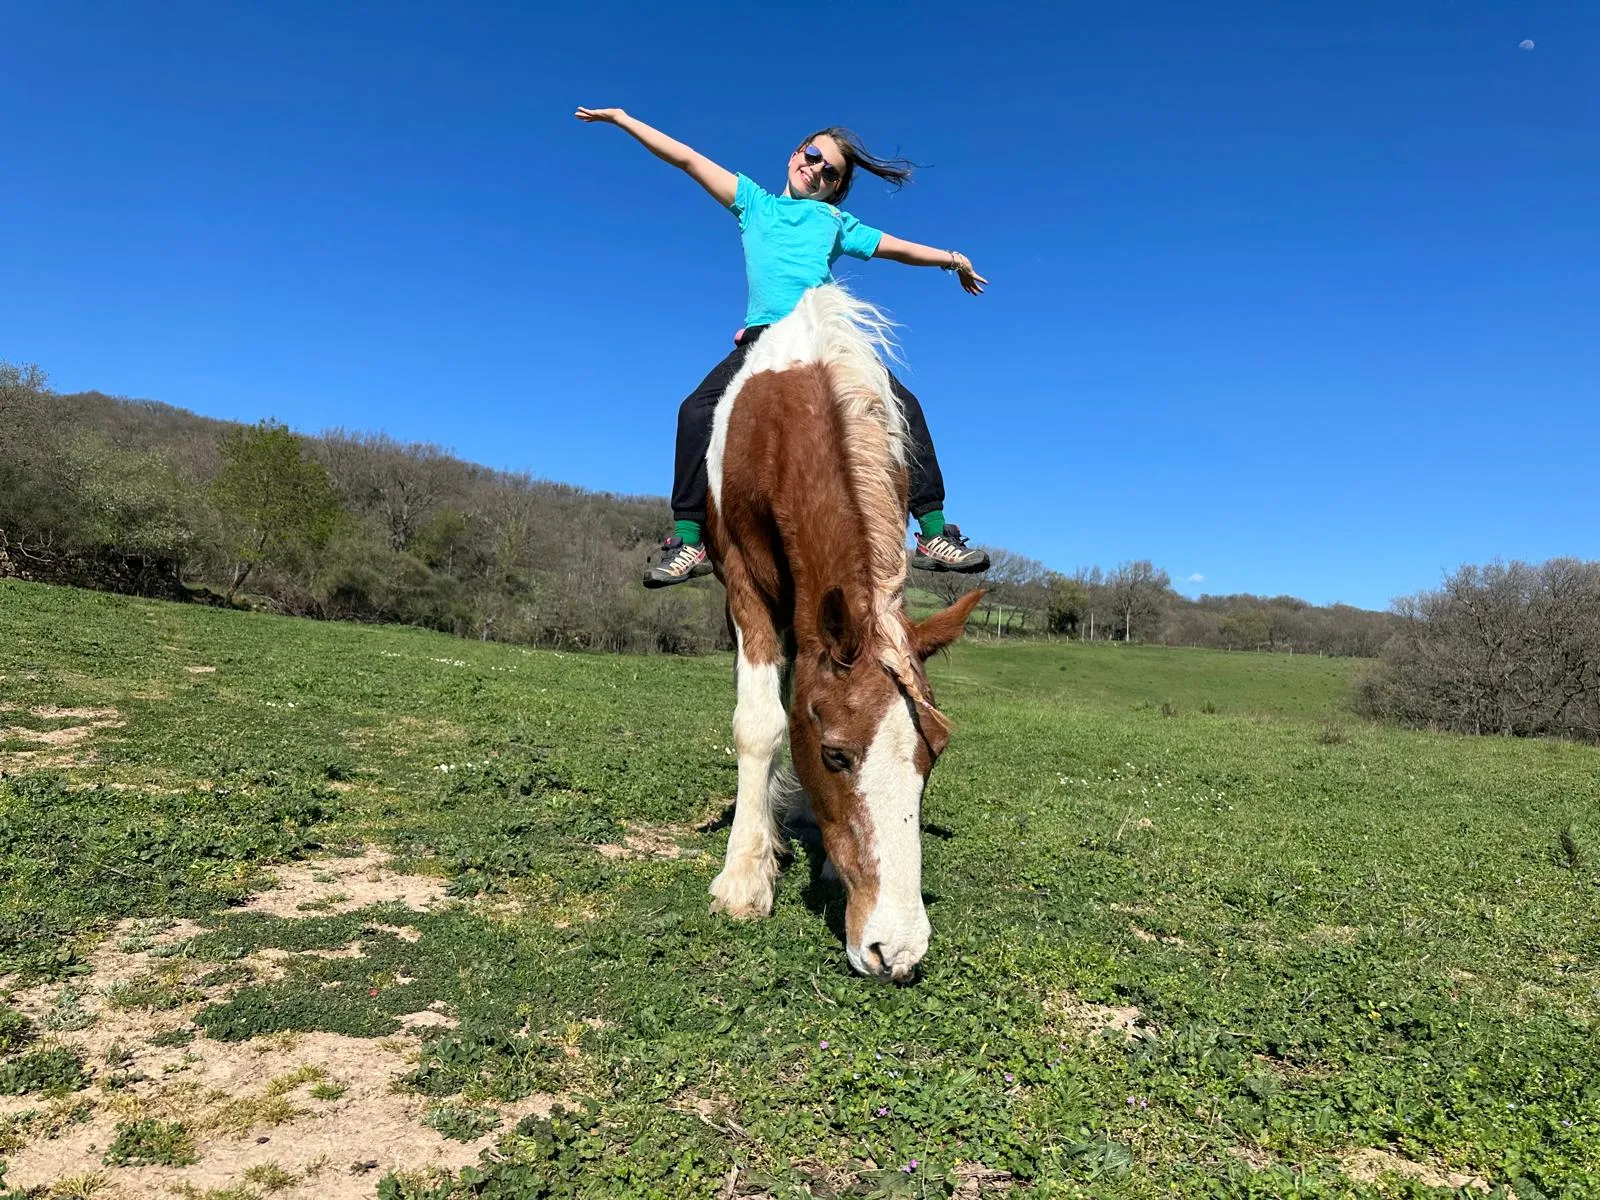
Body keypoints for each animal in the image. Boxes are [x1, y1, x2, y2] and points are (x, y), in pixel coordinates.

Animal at [702, 283, 983, 983]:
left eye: (933, 756)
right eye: (835, 755)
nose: (897, 950)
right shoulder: (743, 583)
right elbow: (760, 724)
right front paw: (746, 874)